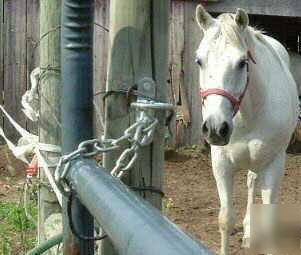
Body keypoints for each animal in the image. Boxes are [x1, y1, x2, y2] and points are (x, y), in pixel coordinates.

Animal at [195, 4, 298, 255]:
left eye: (243, 62)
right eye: (199, 61)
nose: (216, 128)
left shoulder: (274, 164)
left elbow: (270, 222)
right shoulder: (221, 164)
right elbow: (225, 219)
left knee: (253, 183)